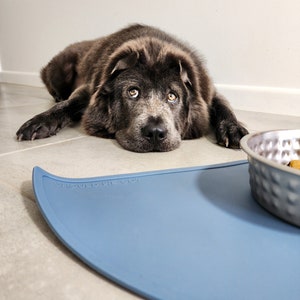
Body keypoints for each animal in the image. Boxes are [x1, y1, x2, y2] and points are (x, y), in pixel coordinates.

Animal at [17, 23, 250, 152]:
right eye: (133, 92)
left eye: (172, 96)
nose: (155, 132)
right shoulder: (88, 89)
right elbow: (67, 105)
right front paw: (39, 122)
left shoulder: (209, 94)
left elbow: (224, 106)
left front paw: (233, 129)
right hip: (59, 68)